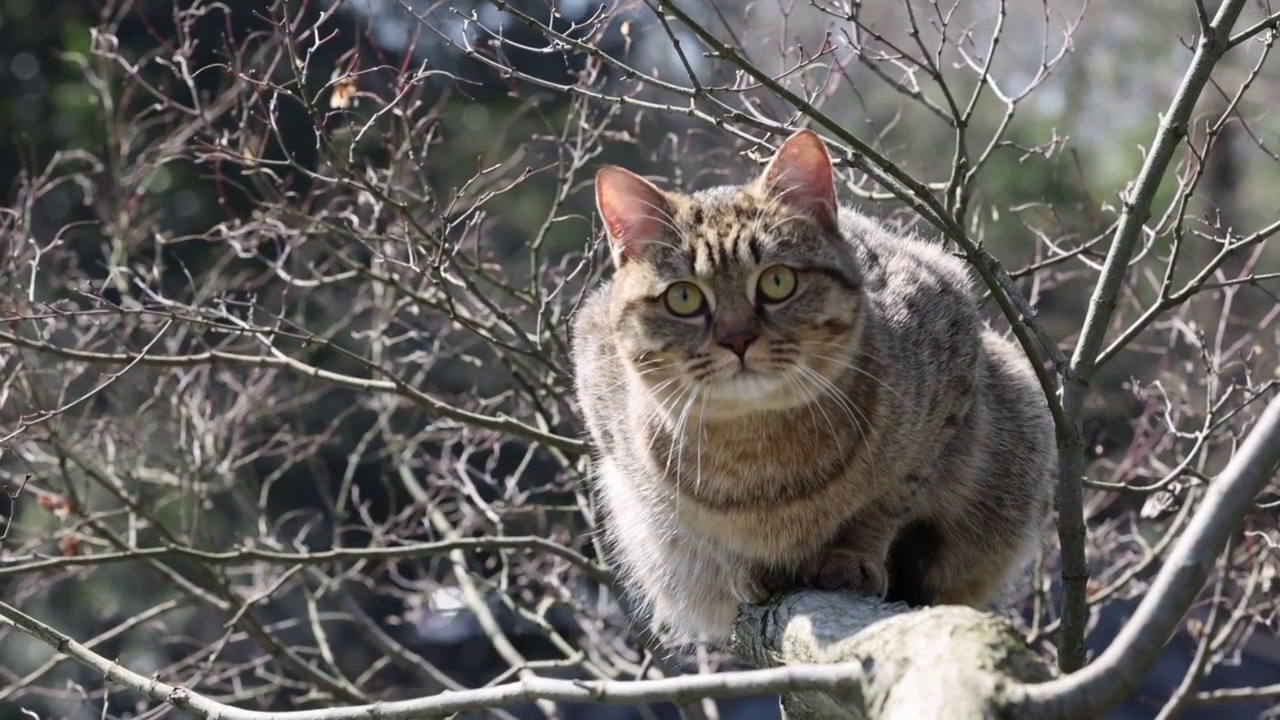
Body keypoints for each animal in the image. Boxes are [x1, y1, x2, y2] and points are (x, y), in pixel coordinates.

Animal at [570, 127, 1059, 638]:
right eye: (683, 298)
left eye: (777, 282)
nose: (737, 338)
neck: (760, 456)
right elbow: (707, 531)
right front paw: (745, 564)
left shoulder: (951, 359)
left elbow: (887, 501)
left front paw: (853, 555)